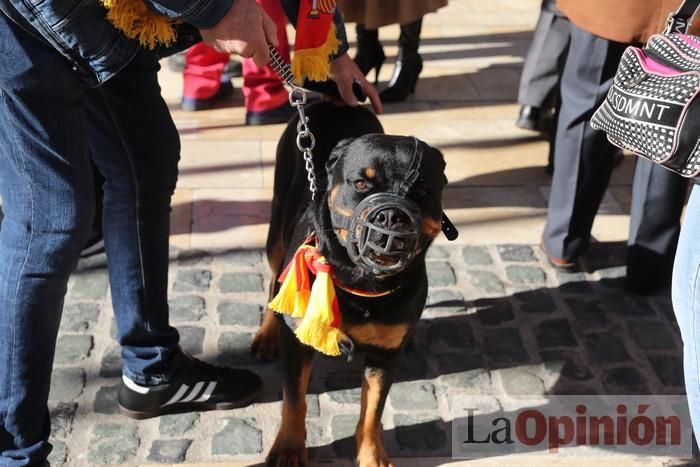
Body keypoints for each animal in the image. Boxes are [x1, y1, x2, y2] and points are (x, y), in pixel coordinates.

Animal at [252, 102, 448, 467]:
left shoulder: (384, 358)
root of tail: (335, 102)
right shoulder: (297, 345)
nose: (391, 216)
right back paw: (267, 333)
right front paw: (288, 449)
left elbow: (372, 411)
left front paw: (371, 455)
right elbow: (294, 400)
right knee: (274, 282)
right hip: (276, 228)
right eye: (360, 182)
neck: (363, 284)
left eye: (422, 189)